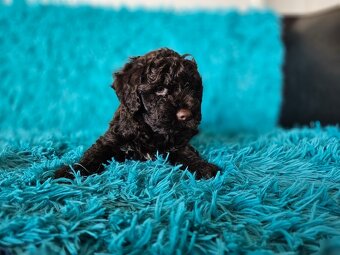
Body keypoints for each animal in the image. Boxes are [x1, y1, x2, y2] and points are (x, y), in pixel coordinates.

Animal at [55, 48, 220, 179]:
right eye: (160, 89)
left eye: (188, 87)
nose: (185, 115)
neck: (149, 131)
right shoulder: (111, 140)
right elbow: (94, 155)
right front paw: (71, 171)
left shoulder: (177, 143)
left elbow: (187, 153)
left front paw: (203, 167)